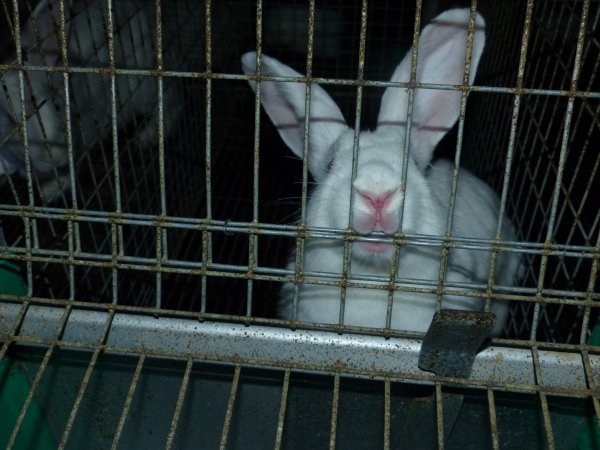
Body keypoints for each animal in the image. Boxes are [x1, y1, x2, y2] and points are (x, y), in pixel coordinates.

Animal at [0, 0, 183, 202]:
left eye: (57, 105)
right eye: (10, 119)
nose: (57, 155)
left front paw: (53, 191)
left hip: (144, 84)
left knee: (170, 101)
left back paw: (146, 137)